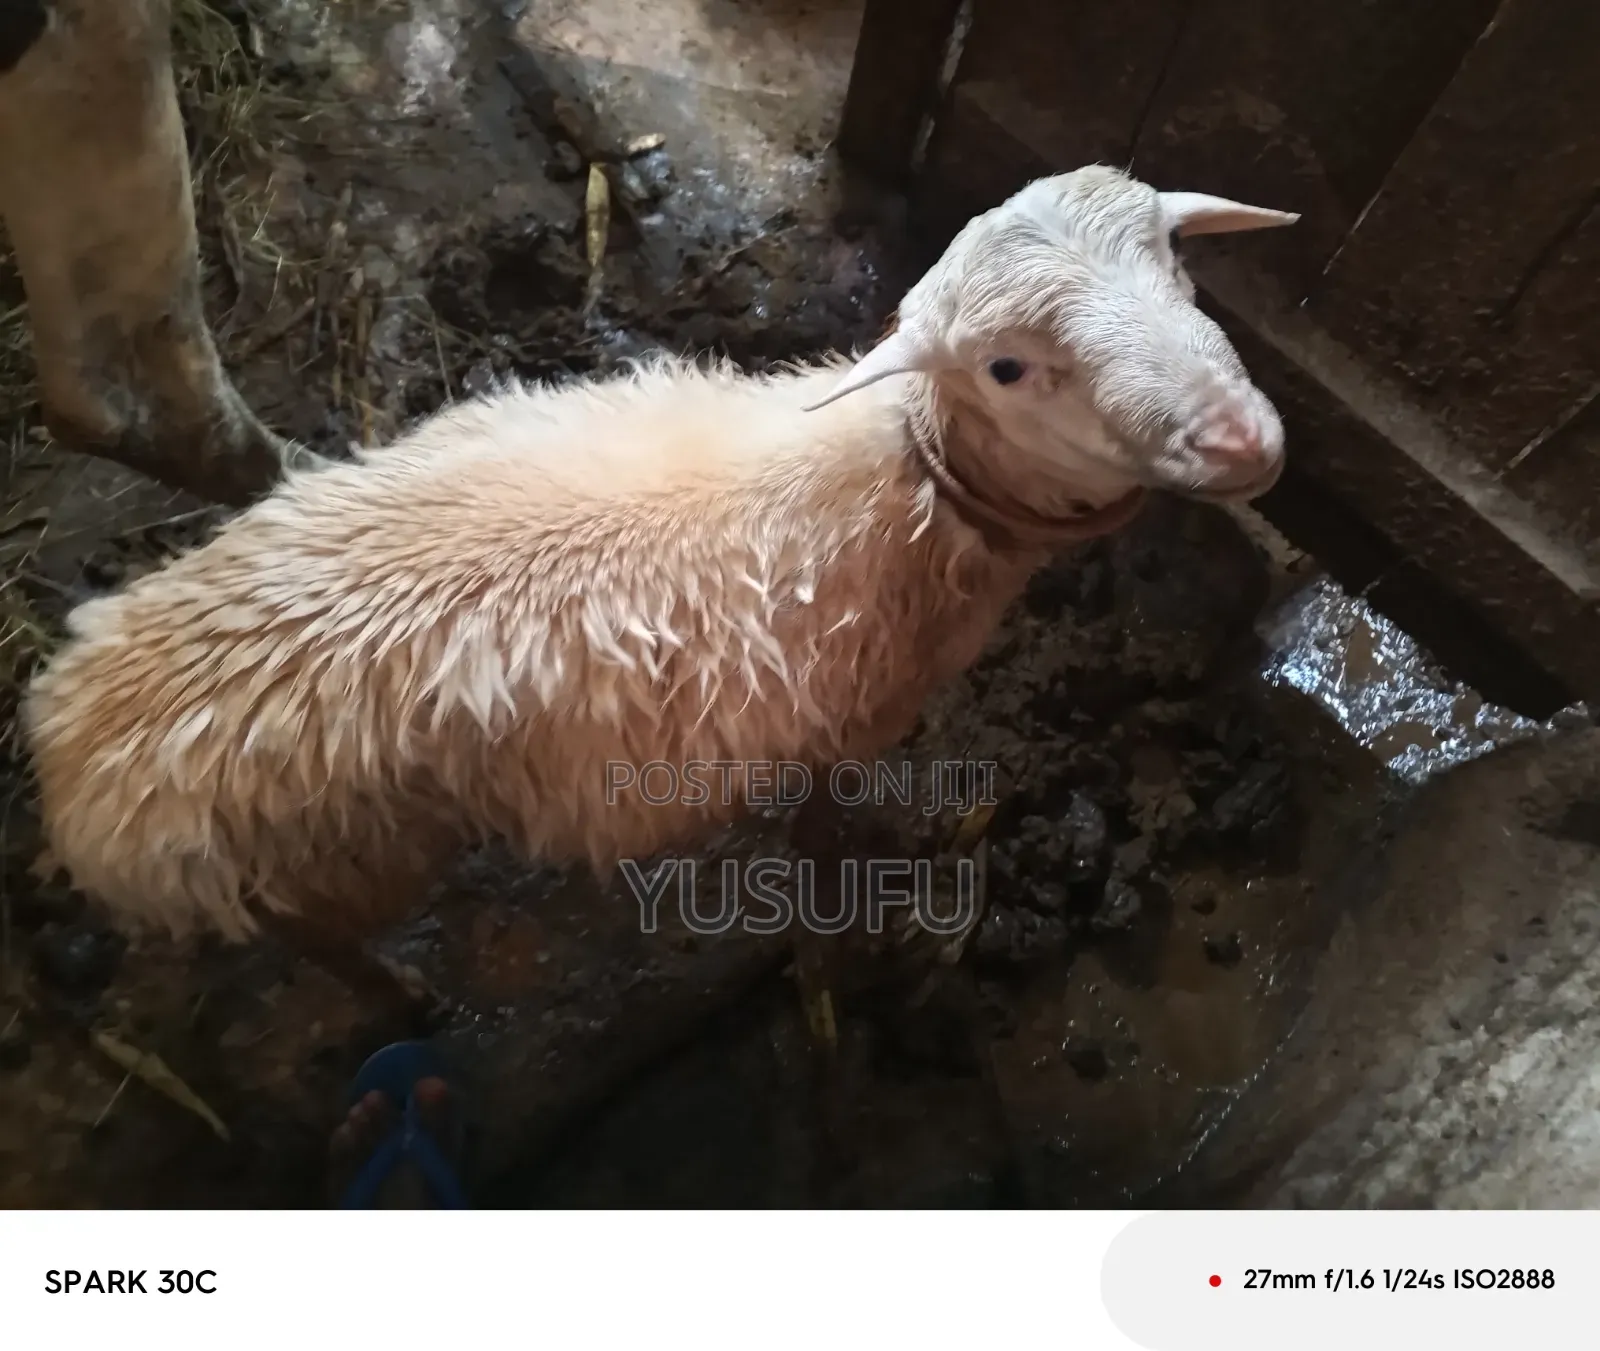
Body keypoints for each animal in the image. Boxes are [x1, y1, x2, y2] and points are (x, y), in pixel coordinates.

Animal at [22, 164, 1297, 1016]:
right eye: (1007, 367)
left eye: (1176, 262)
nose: (1242, 440)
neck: (903, 481)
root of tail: (76, 753)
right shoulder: (839, 726)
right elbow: (825, 836)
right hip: (330, 863)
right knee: (323, 943)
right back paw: (401, 998)